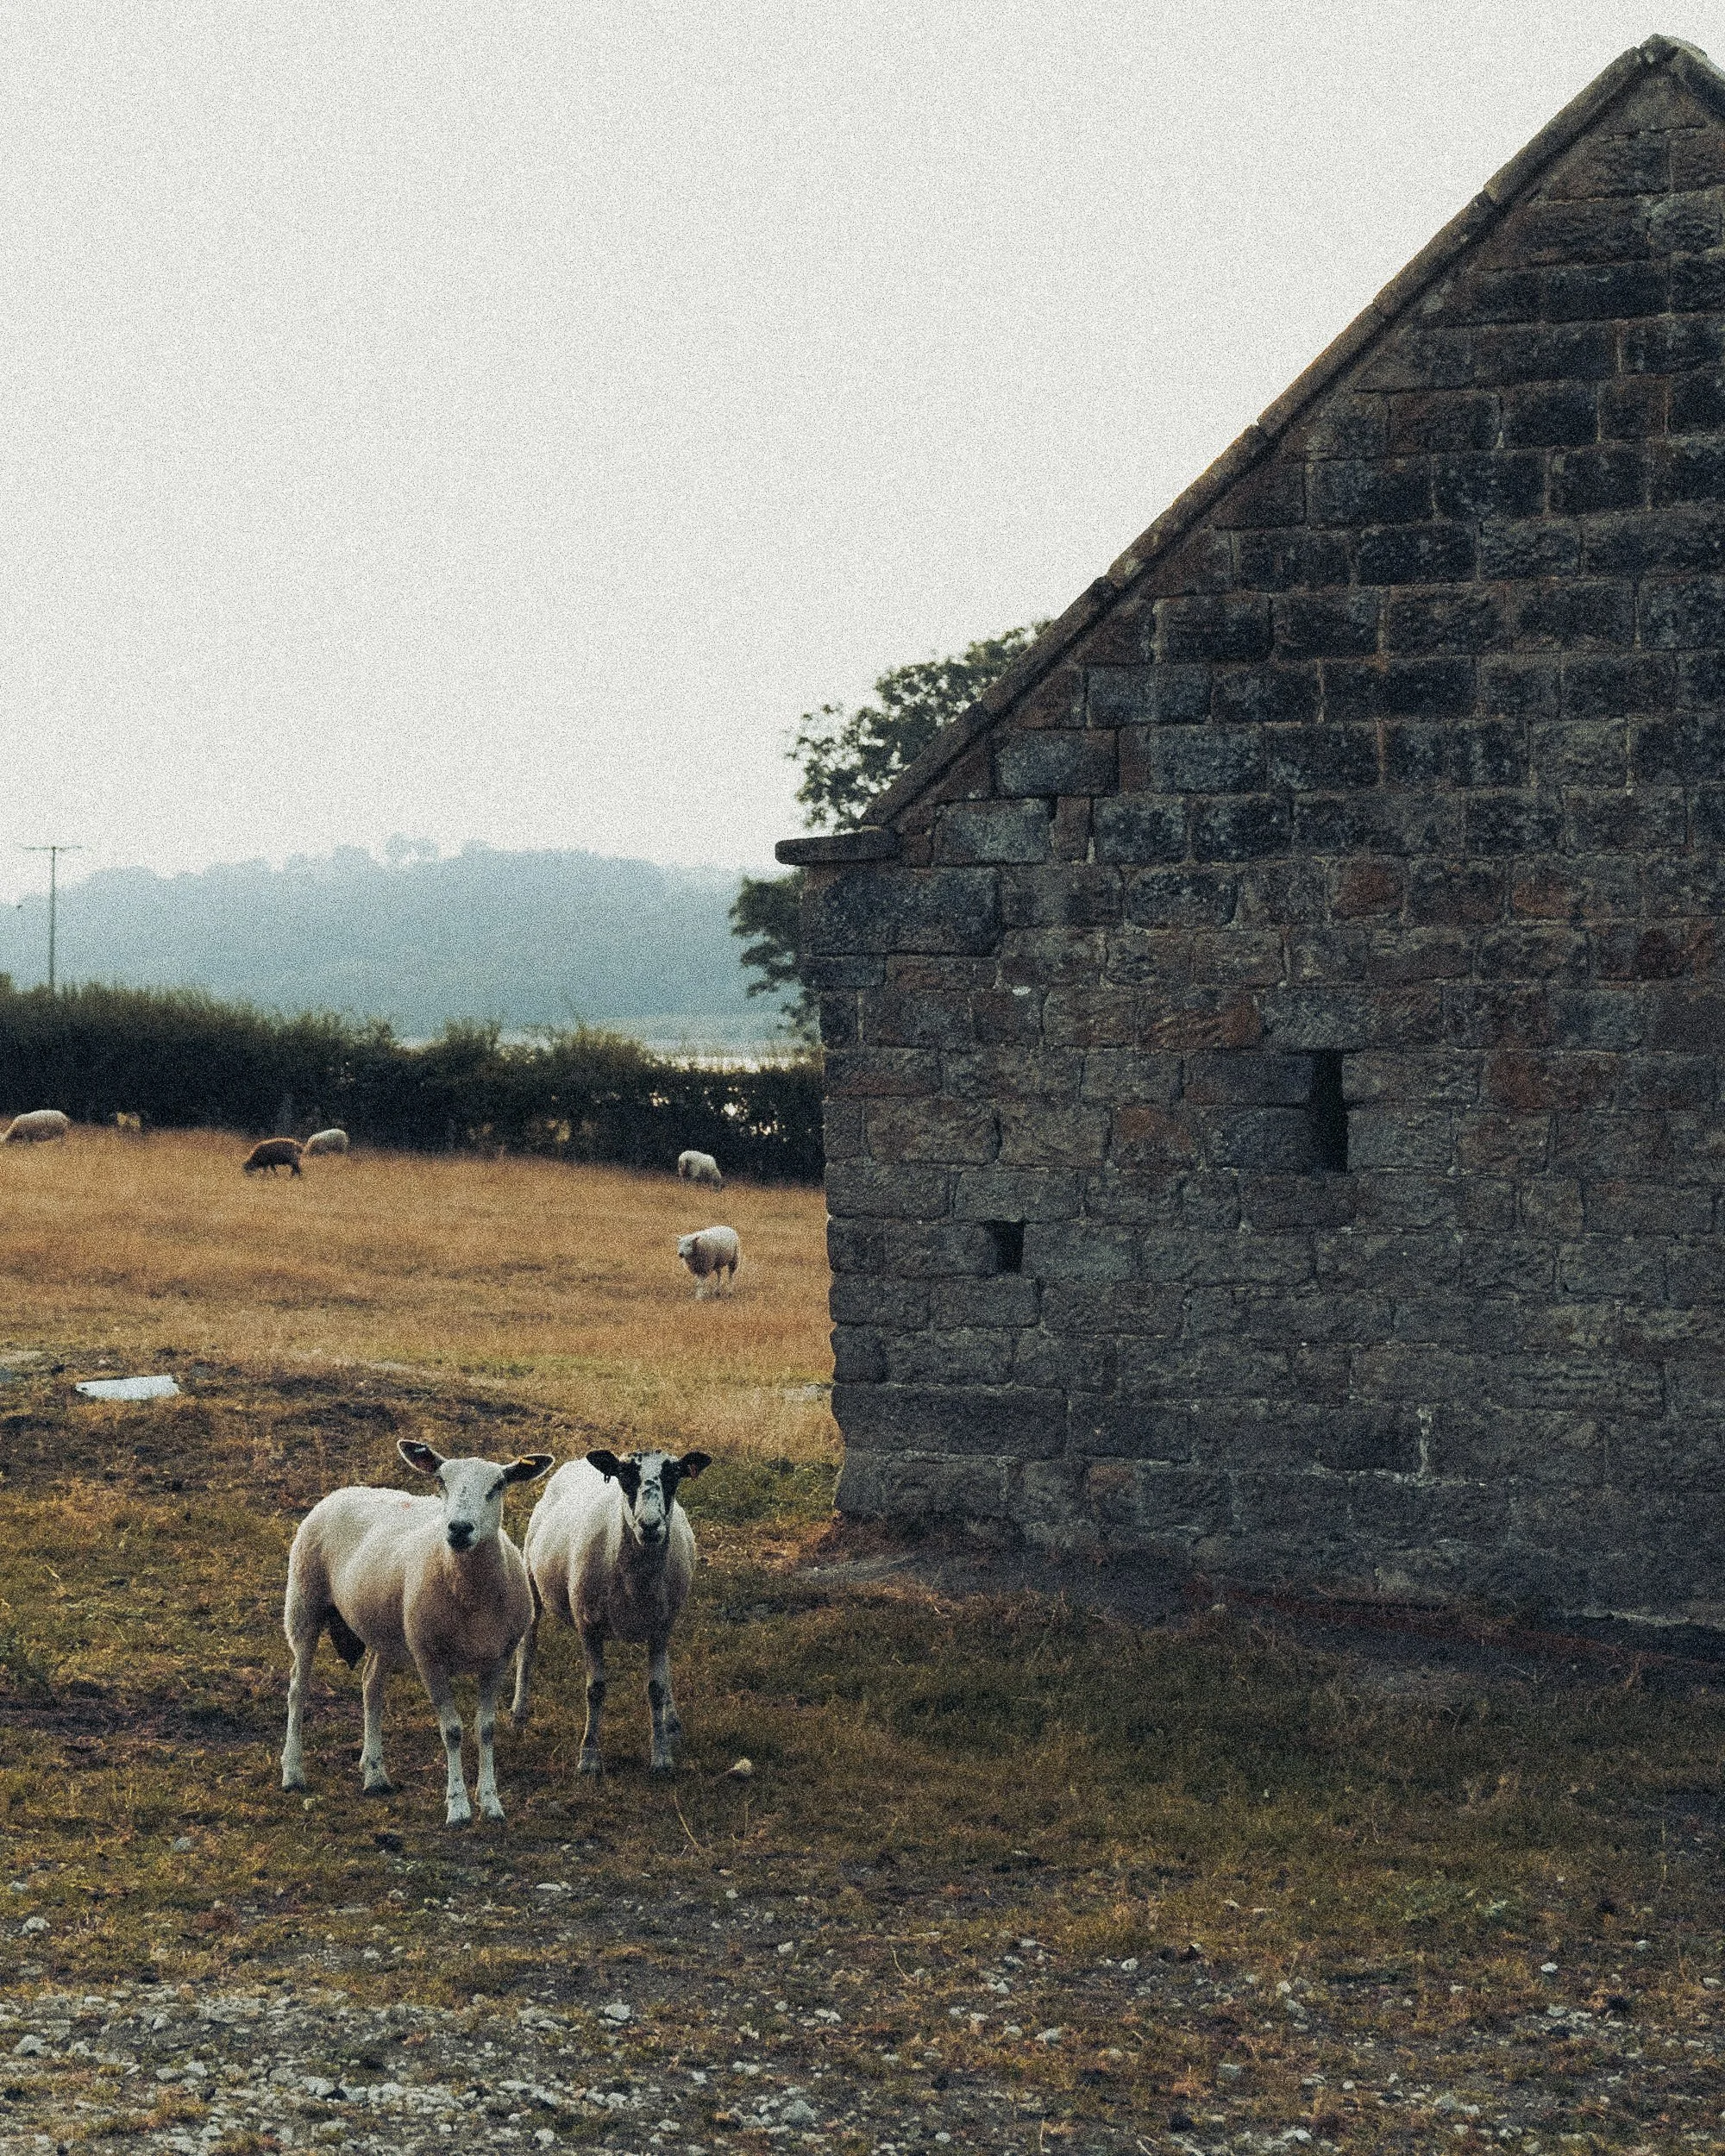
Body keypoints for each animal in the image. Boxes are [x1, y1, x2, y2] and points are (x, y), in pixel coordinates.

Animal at [281, 1438, 553, 1825]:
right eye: (441, 1481)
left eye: (498, 1485)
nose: (459, 1528)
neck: (471, 1597)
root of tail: (343, 1491)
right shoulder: (429, 1658)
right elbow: (452, 1730)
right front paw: (458, 1807)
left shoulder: (498, 1659)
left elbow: (485, 1729)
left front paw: (491, 1802)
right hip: (304, 1602)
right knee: (297, 1687)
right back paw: (292, 1771)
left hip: (383, 1627)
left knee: (371, 1686)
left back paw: (375, 1773)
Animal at [511, 1447, 710, 1774]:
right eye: (625, 1476)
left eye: (674, 1475)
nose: (650, 1526)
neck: (635, 1581)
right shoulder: (588, 1625)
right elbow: (596, 1690)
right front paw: (589, 1757)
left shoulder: (661, 1627)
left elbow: (657, 1688)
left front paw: (662, 1756)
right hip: (531, 1578)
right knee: (528, 1648)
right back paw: (519, 1713)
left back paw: (672, 1724)